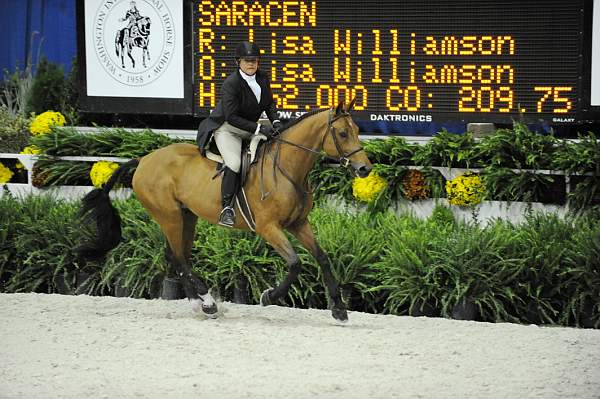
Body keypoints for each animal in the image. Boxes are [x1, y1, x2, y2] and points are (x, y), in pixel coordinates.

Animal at [77, 100, 372, 324]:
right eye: (342, 134)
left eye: (357, 129)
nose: (364, 169)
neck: (288, 169)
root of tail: (143, 160)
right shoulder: (269, 228)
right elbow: (295, 263)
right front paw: (269, 296)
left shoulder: (298, 223)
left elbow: (322, 258)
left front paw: (339, 309)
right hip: (169, 216)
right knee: (179, 259)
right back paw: (208, 304)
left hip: (187, 216)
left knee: (177, 257)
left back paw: (199, 305)